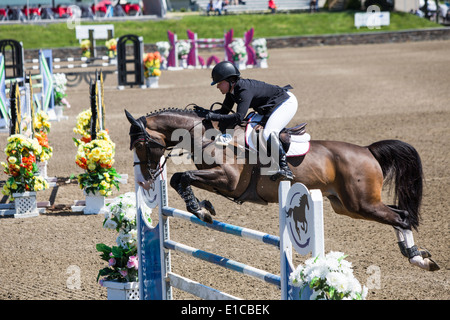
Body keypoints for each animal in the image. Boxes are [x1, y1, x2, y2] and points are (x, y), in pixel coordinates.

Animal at [125, 109, 440, 272]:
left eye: (140, 144)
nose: (147, 177)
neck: (207, 136)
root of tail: (367, 150)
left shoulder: (228, 179)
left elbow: (181, 177)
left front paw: (201, 210)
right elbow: (182, 179)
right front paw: (205, 207)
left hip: (361, 203)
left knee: (401, 217)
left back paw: (418, 258)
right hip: (349, 206)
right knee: (399, 213)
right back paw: (415, 253)